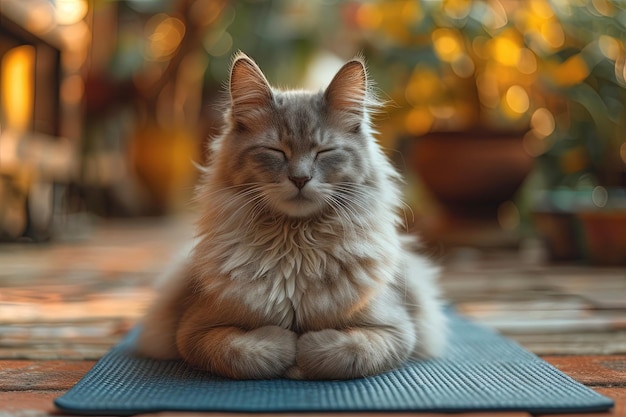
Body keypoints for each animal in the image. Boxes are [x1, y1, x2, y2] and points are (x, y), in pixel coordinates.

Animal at [136, 50, 444, 378]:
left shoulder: (396, 330)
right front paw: (286, 344)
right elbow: (241, 352)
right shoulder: (193, 330)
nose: (300, 179)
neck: (296, 248)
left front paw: (303, 349)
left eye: (324, 152)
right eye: (276, 151)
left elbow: (344, 351)